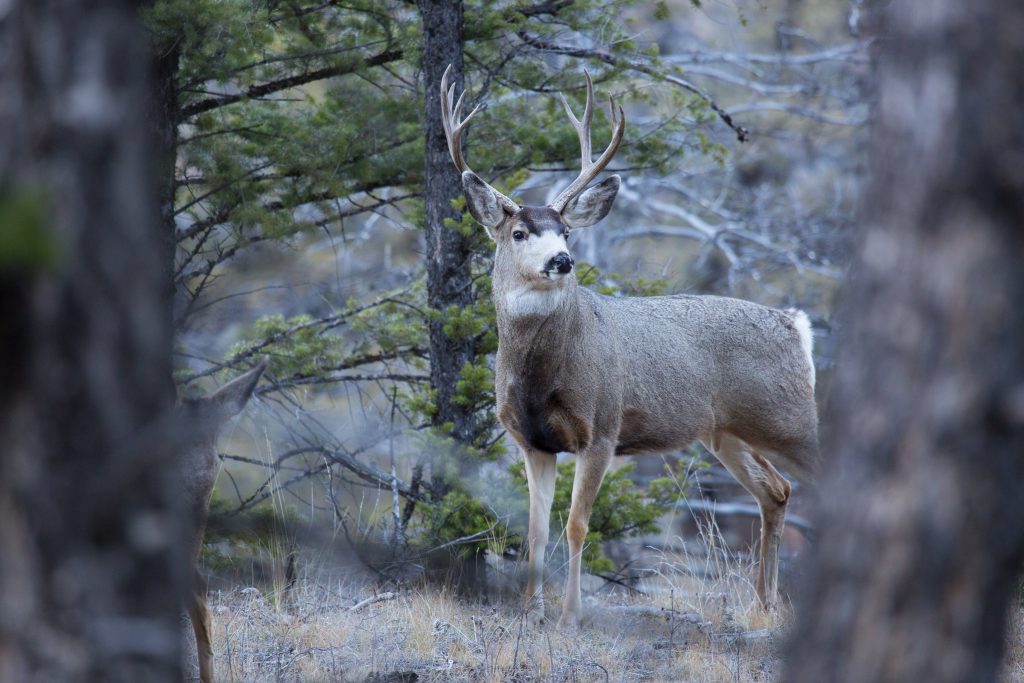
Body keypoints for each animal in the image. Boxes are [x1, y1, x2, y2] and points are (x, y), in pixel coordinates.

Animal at [439, 66, 819, 628]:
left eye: (566, 230)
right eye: (519, 231)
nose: (562, 260)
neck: (540, 376)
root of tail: (797, 326)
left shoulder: (602, 427)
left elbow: (577, 524)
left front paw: (571, 615)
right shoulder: (531, 440)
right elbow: (534, 529)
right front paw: (531, 612)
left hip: (791, 420)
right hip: (726, 432)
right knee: (776, 491)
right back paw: (761, 606)